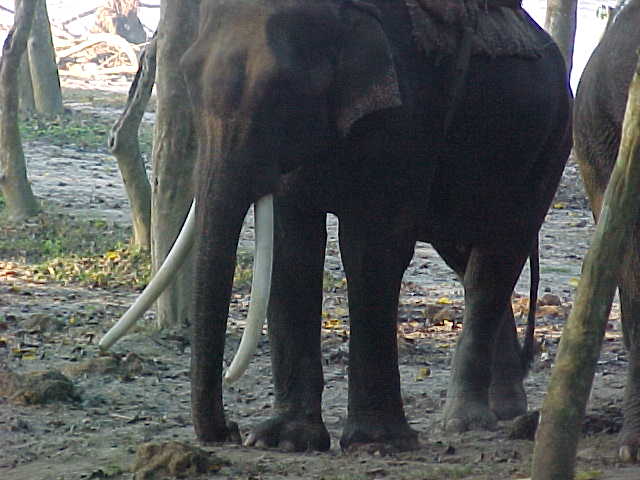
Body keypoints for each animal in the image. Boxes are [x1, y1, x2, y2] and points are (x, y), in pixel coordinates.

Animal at [100, 0, 568, 450]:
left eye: (282, 91)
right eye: (188, 79)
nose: (229, 430)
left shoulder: (408, 115)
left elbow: (372, 246)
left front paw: (377, 444)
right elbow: (292, 247)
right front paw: (283, 440)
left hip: (548, 148)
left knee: (495, 258)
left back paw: (466, 421)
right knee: (467, 259)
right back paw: (506, 409)